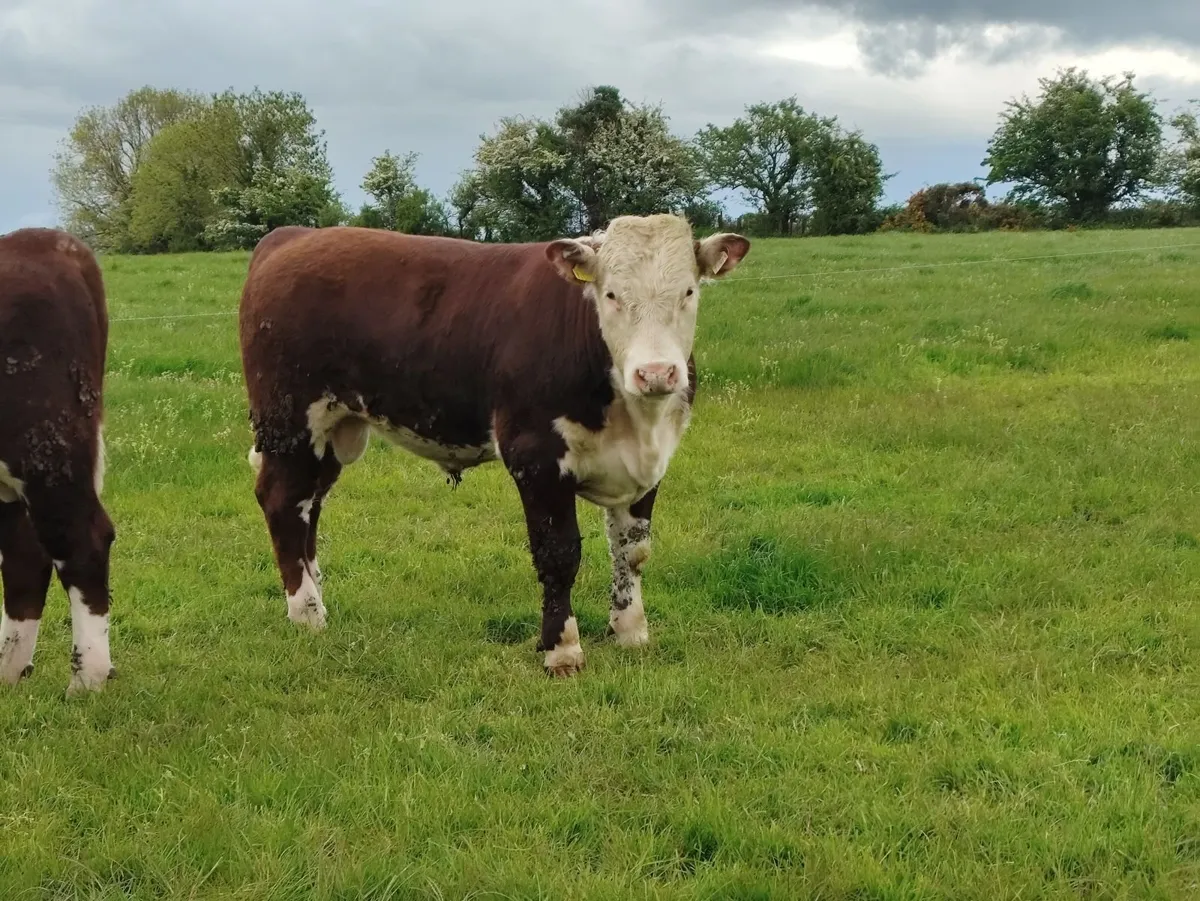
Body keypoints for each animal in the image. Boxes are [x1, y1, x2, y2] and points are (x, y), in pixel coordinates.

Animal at [238, 214, 749, 675]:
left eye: (688, 292)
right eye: (611, 295)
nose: (656, 373)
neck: (636, 417)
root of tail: (293, 236)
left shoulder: (649, 463)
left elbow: (632, 551)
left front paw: (631, 632)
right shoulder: (535, 457)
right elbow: (558, 554)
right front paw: (562, 649)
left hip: (330, 433)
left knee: (308, 505)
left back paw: (315, 592)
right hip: (290, 423)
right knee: (282, 502)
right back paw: (307, 613)